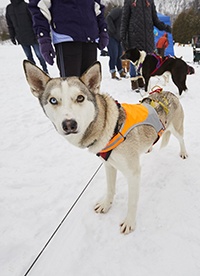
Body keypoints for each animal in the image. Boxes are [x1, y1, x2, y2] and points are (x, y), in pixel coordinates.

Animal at [23, 61, 188, 235]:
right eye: (53, 100)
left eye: (80, 98)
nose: (69, 124)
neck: (112, 128)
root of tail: (167, 92)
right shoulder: (109, 165)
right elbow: (110, 189)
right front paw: (106, 205)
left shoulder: (133, 173)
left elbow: (132, 202)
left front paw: (129, 222)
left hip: (177, 129)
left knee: (182, 139)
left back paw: (183, 153)